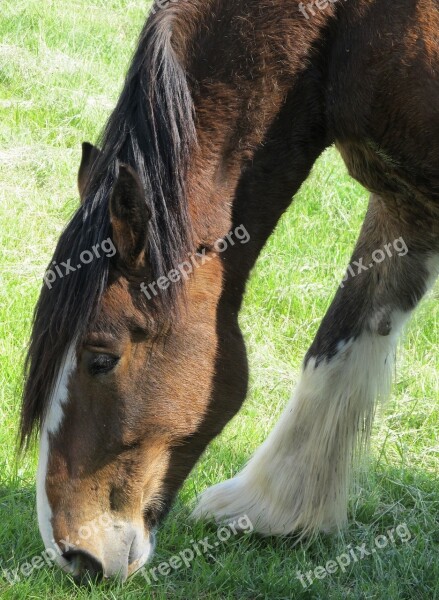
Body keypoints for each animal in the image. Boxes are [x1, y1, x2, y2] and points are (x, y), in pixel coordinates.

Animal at [19, 0, 439, 584]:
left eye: (101, 359)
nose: (74, 557)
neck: (352, 23)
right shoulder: (406, 203)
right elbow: (340, 342)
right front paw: (274, 509)